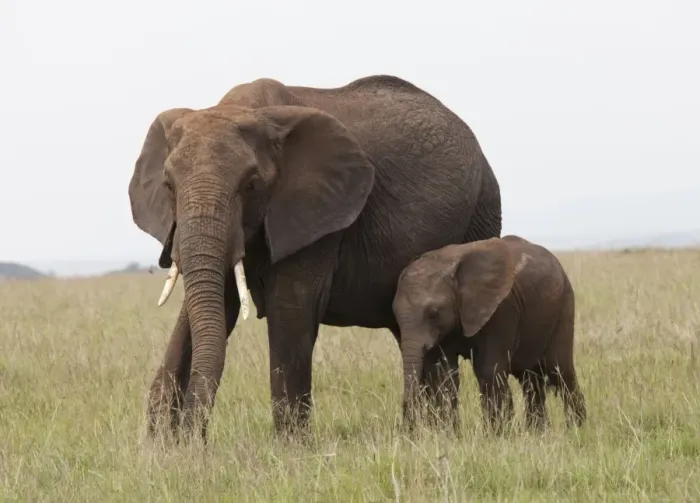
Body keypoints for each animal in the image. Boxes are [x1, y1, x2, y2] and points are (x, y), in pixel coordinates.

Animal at [127, 74, 503, 440]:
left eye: (251, 185)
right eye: (168, 185)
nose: (192, 435)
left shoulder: (320, 214)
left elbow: (290, 307)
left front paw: (291, 446)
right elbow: (219, 302)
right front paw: (165, 445)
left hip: (480, 214)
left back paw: (441, 438)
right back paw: (431, 437)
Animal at [392, 235, 586, 433]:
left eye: (433, 314)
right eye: (395, 315)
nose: (407, 428)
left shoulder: (501, 310)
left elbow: (488, 370)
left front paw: (497, 435)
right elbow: (444, 375)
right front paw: (449, 434)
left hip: (564, 306)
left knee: (560, 370)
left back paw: (576, 430)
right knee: (530, 380)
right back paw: (538, 433)